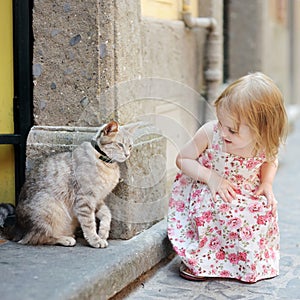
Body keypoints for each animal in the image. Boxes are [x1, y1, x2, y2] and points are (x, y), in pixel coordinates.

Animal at [0, 120, 135, 247]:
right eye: (120, 145)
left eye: (130, 146)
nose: (127, 154)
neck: (105, 163)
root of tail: (16, 228)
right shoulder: (85, 199)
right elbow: (89, 224)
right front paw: (95, 240)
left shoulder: (97, 199)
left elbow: (107, 214)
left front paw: (103, 233)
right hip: (48, 209)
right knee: (37, 238)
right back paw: (64, 239)